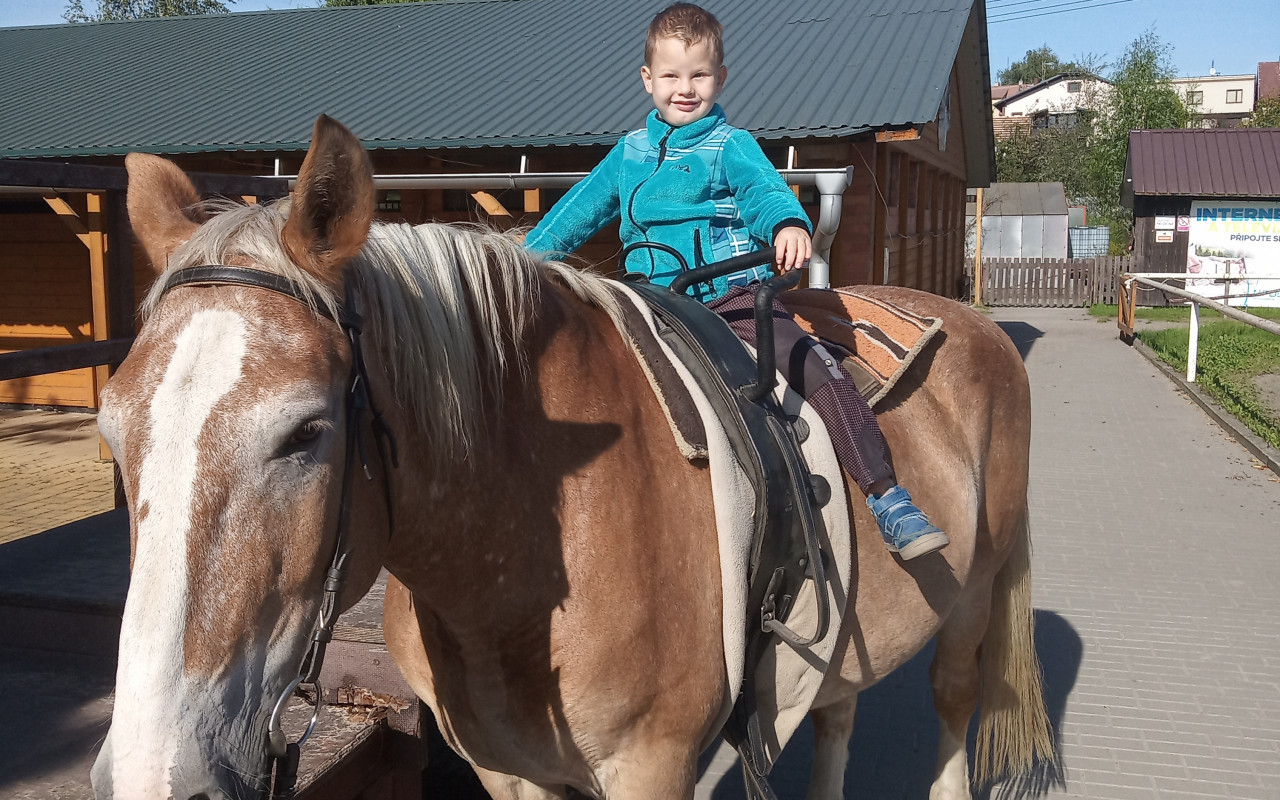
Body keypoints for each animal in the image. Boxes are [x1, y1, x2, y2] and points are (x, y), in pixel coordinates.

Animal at [92, 113, 1049, 798]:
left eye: (306, 432)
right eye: (112, 434)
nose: (154, 773)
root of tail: (972, 324)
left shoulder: (652, 767)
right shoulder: (507, 771)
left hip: (974, 597)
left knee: (953, 702)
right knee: (839, 714)